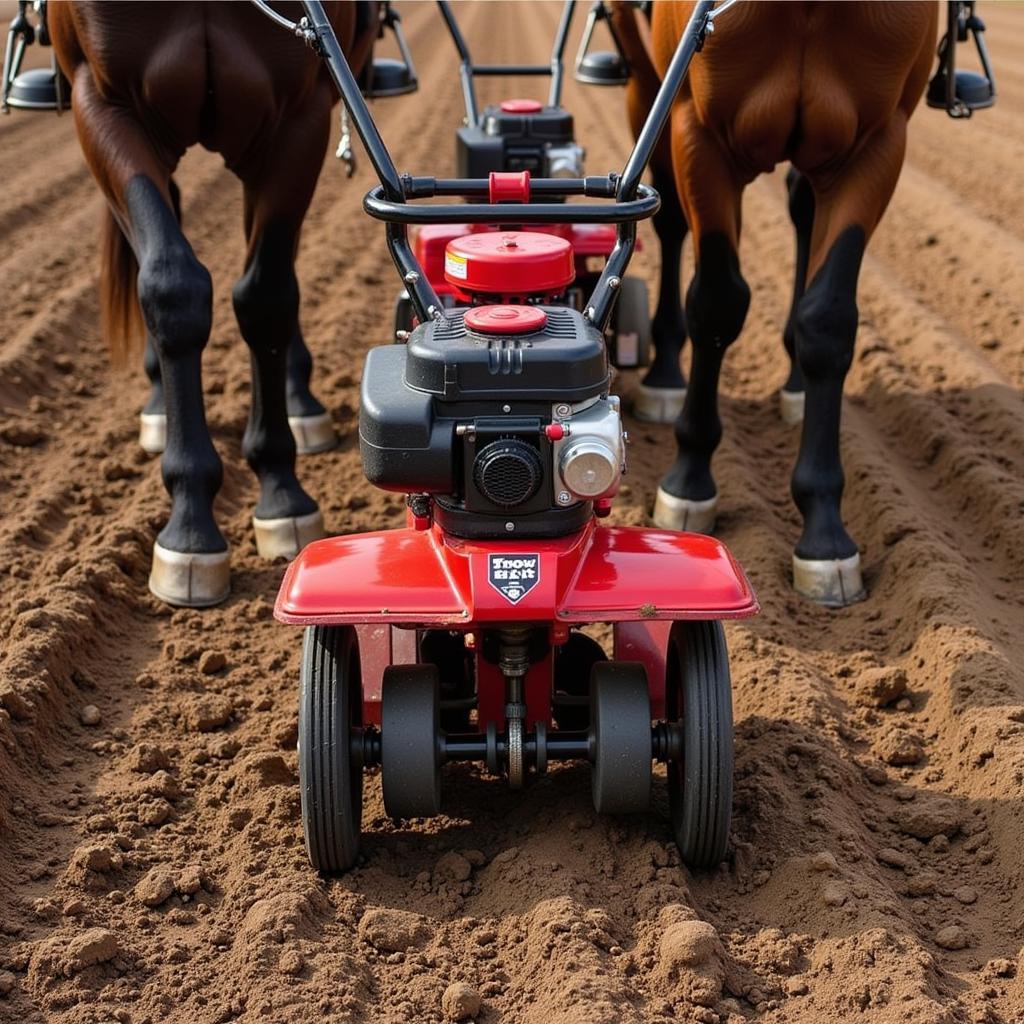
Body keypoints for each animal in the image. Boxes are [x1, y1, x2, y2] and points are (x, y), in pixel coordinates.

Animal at [49, 0, 378, 602]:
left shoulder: (298, 118)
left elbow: (267, 297)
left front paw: (281, 491)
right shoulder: (103, 101)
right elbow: (170, 285)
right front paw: (190, 523)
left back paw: (299, 401)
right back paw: (160, 403)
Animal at [610, 0, 937, 602]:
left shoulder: (876, 145)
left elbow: (828, 320)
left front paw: (825, 531)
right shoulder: (697, 131)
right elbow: (716, 302)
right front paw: (689, 480)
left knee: (802, 209)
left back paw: (796, 385)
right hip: (645, 82)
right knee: (669, 223)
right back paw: (665, 376)